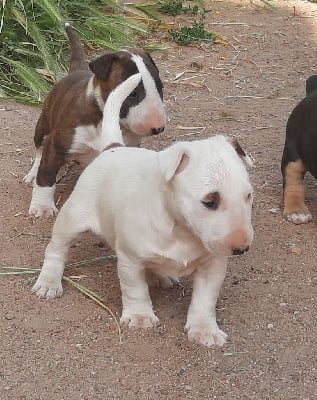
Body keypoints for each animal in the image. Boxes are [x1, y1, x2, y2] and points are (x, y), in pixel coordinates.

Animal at [24, 23, 165, 217]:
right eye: (133, 94)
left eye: (160, 88)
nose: (158, 128)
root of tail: (76, 71)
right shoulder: (56, 144)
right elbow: (46, 176)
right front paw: (42, 207)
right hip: (43, 126)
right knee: (39, 150)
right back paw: (33, 174)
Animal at [32, 72, 253, 346]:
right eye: (210, 201)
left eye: (248, 196)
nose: (241, 249)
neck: (181, 231)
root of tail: (114, 147)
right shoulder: (130, 260)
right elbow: (135, 289)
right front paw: (140, 317)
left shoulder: (213, 265)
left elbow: (205, 299)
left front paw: (204, 329)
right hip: (72, 217)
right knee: (57, 249)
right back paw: (49, 281)